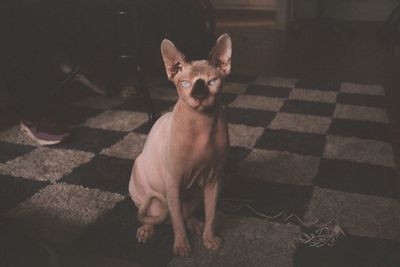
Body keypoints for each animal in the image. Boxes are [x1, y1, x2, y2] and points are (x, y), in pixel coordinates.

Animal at [129, 33, 231, 258]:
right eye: (185, 83)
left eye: (212, 81)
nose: (199, 95)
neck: (202, 128)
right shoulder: (173, 182)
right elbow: (176, 223)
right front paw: (182, 246)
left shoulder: (214, 180)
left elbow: (211, 215)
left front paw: (209, 239)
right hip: (141, 184)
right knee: (152, 214)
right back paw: (146, 230)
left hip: (194, 194)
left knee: (185, 214)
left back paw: (195, 224)